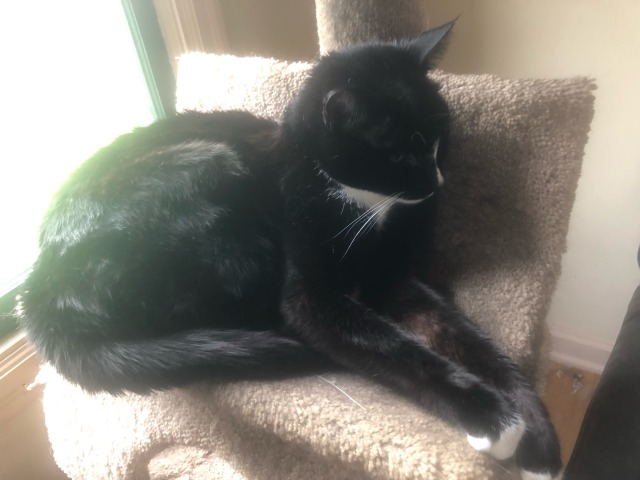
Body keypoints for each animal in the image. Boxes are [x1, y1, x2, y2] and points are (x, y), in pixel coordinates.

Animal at [20, 21, 562, 480]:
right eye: (399, 154)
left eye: (439, 139)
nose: (435, 184)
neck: (364, 207)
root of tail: (40, 286)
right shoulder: (310, 297)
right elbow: (395, 348)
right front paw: (494, 420)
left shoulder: (394, 280)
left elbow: (470, 341)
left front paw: (538, 435)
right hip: (209, 165)